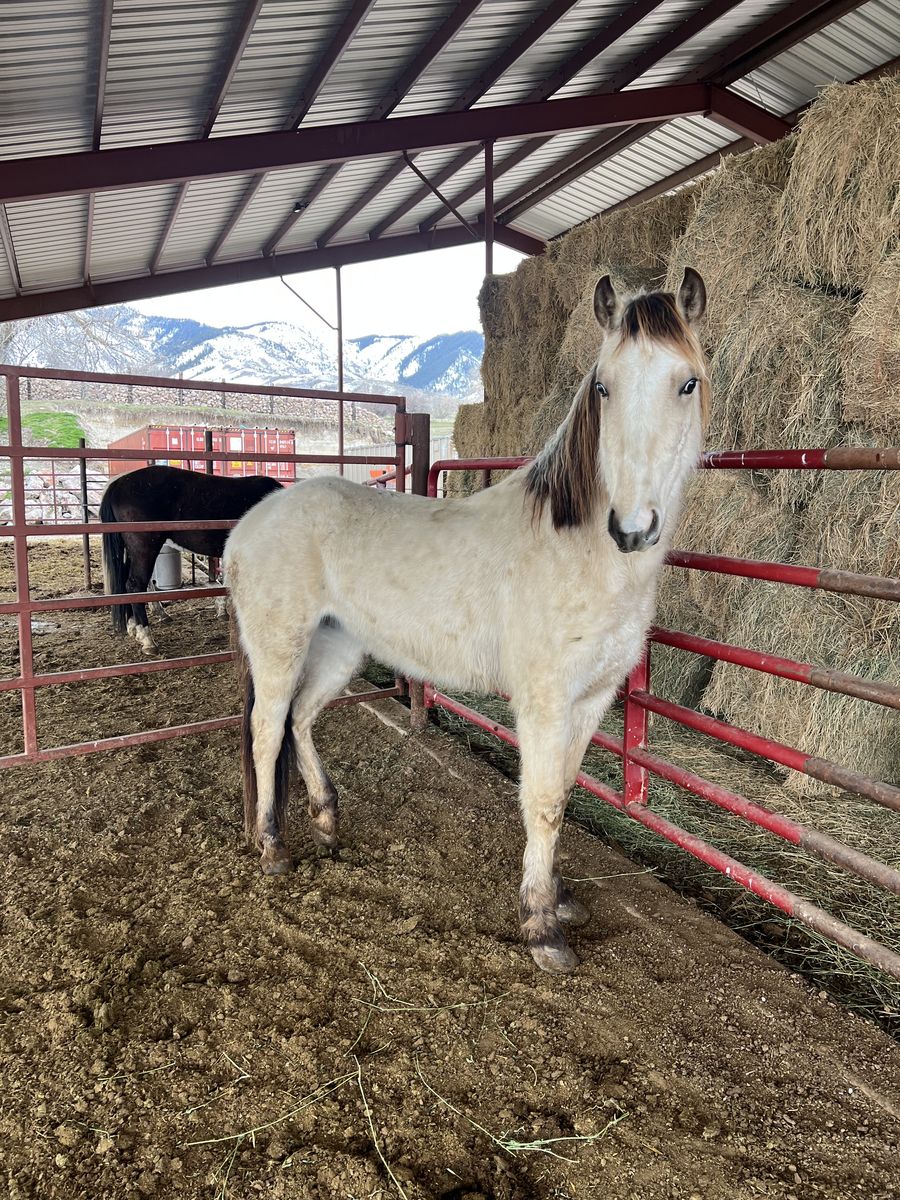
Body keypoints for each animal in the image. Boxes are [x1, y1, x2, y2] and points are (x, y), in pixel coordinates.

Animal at [225, 269, 709, 974]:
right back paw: (272, 847)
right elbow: (543, 803)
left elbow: (564, 792)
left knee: (302, 720)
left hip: (339, 648)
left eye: (687, 382)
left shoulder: (591, 700)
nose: (631, 527)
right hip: (280, 647)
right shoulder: (543, 702)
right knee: (266, 730)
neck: (580, 552)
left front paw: (559, 899)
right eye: (603, 386)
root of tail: (248, 524)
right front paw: (542, 927)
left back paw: (326, 820)